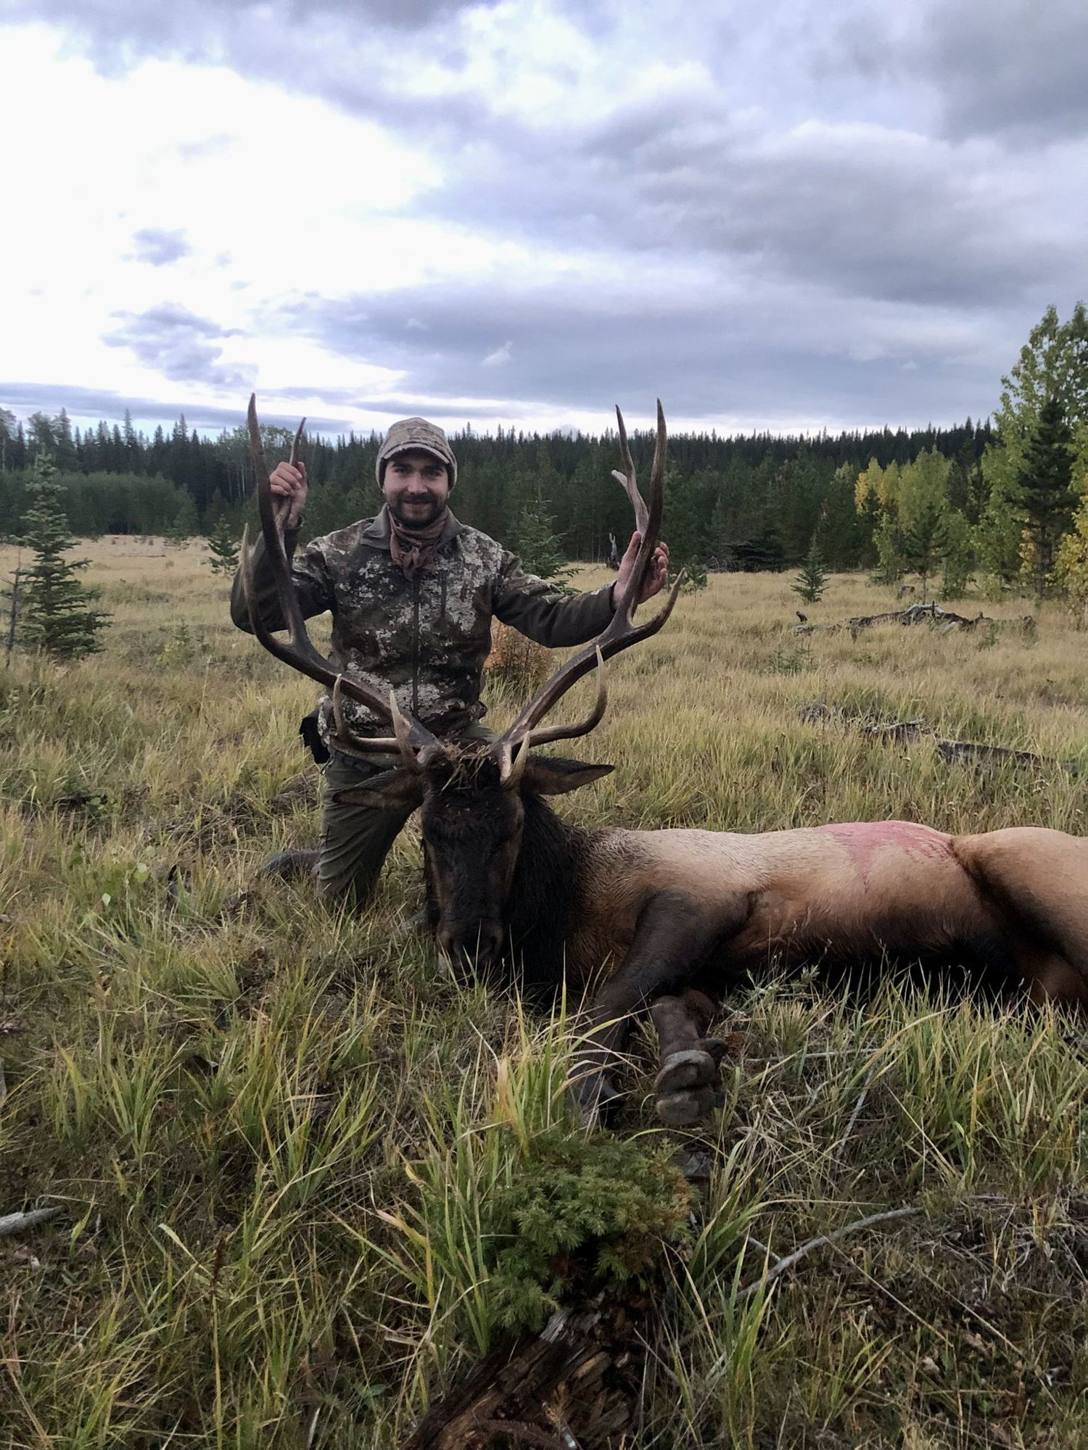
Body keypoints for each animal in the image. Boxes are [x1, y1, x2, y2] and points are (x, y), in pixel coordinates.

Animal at [240, 400, 1088, 1128]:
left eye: (512, 826)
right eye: (427, 832)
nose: (469, 946)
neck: (565, 918)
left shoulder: (701, 895)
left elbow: (605, 1004)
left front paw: (591, 1093)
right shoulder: (707, 971)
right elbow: (661, 1010)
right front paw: (686, 1076)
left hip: (1027, 859)